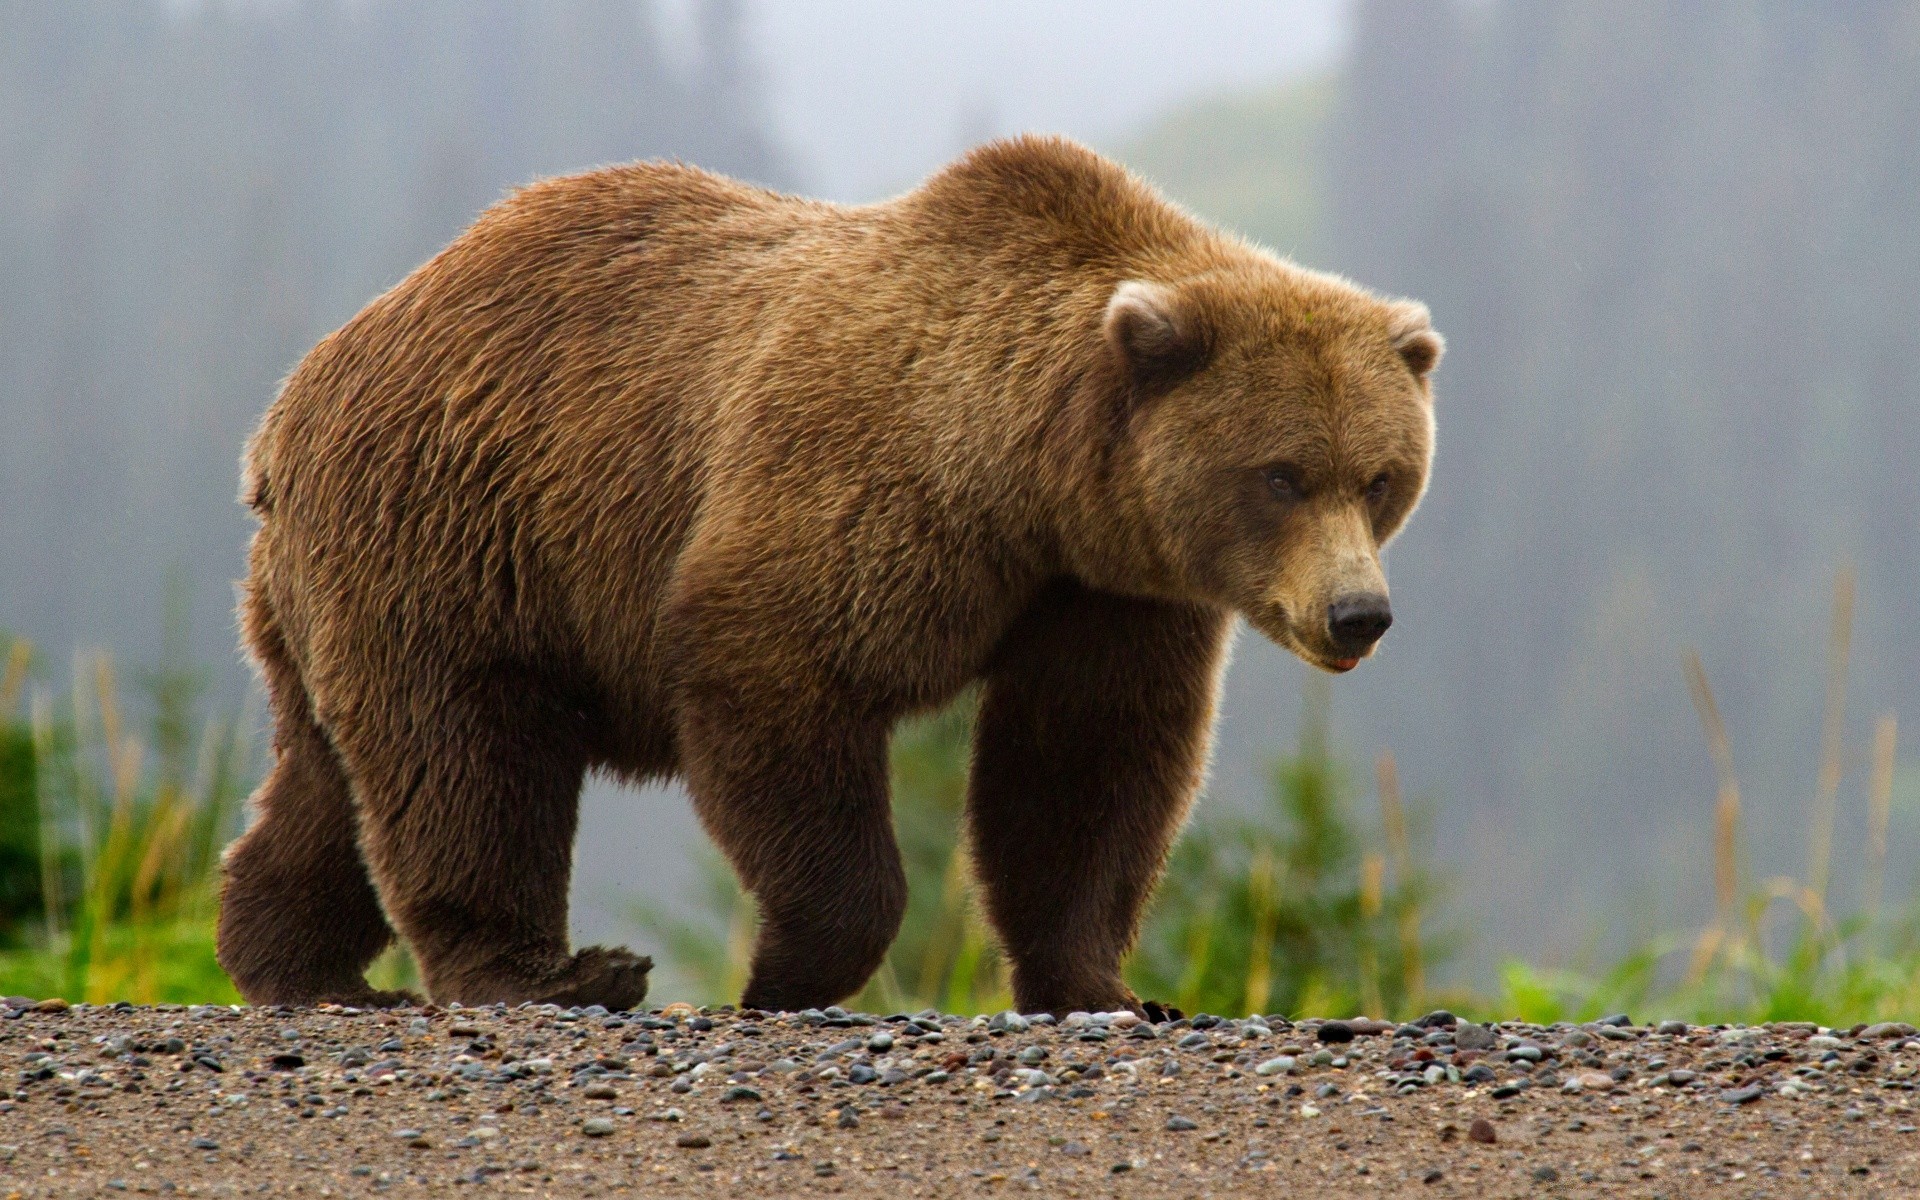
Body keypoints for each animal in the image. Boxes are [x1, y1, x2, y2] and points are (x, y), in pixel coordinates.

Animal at [214, 133, 1443, 1013]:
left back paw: (295, 963)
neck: (1031, 481)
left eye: (1382, 477)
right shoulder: (864, 485)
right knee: (466, 756)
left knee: (330, 777)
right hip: (459, 529)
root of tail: (293, 400)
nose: (1359, 614)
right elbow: (778, 674)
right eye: (1281, 474)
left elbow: (1085, 766)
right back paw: (547, 974)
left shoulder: (1106, 592)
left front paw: (1107, 986)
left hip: (346, 581)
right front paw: (785, 972)